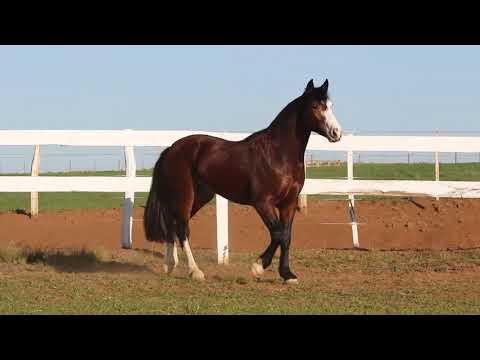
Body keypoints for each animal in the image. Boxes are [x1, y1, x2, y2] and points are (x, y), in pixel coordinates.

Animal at [144, 79, 344, 284]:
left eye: (330, 106)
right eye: (315, 106)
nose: (336, 133)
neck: (277, 154)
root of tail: (172, 149)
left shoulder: (288, 203)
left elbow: (286, 236)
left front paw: (287, 274)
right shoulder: (262, 203)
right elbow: (278, 233)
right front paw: (258, 267)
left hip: (200, 196)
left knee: (173, 224)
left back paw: (170, 264)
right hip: (185, 195)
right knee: (182, 228)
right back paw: (195, 271)